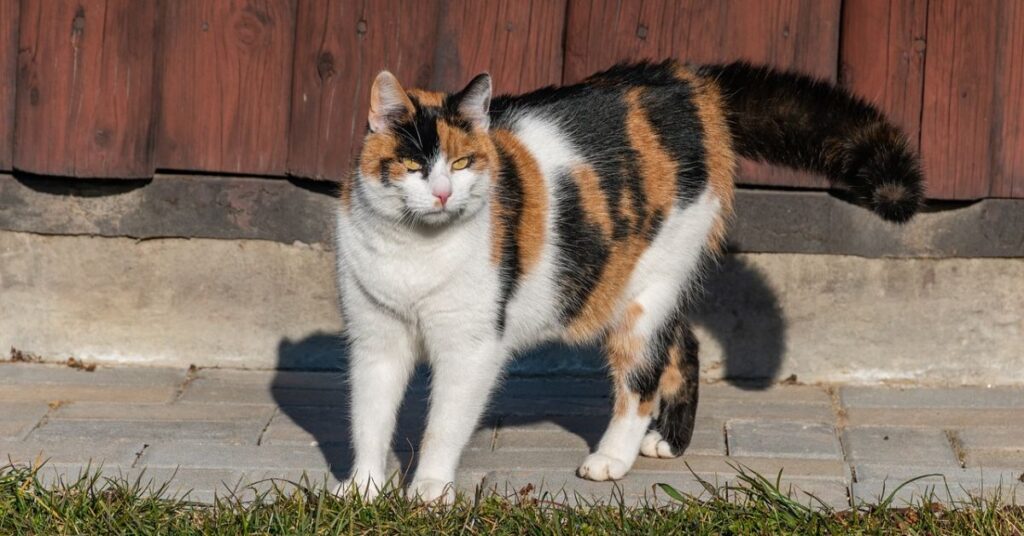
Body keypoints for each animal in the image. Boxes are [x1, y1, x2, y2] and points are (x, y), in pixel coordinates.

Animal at [333, 59, 921, 504]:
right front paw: (362, 491)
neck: (414, 252)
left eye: (461, 163)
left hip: (647, 286)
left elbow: (443, 424)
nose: (441, 195)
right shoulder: (374, 339)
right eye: (412, 165)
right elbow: (368, 415)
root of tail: (692, 81)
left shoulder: (471, 348)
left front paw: (428, 492)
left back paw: (612, 457)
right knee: (684, 343)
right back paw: (670, 442)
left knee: (642, 377)